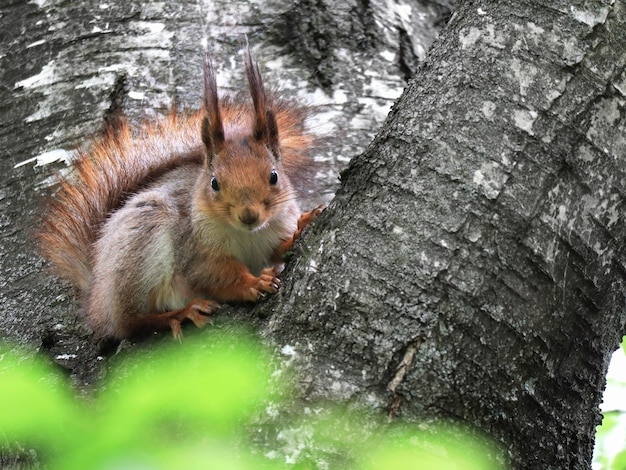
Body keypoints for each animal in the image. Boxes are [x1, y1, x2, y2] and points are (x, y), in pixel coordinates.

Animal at [36, 47, 324, 340]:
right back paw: (179, 314)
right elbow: (216, 276)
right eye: (214, 183)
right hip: (141, 243)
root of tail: (96, 297)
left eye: (274, 176)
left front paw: (300, 229)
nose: (249, 215)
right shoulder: (196, 250)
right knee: (132, 323)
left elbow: (277, 250)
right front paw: (253, 283)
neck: (248, 235)